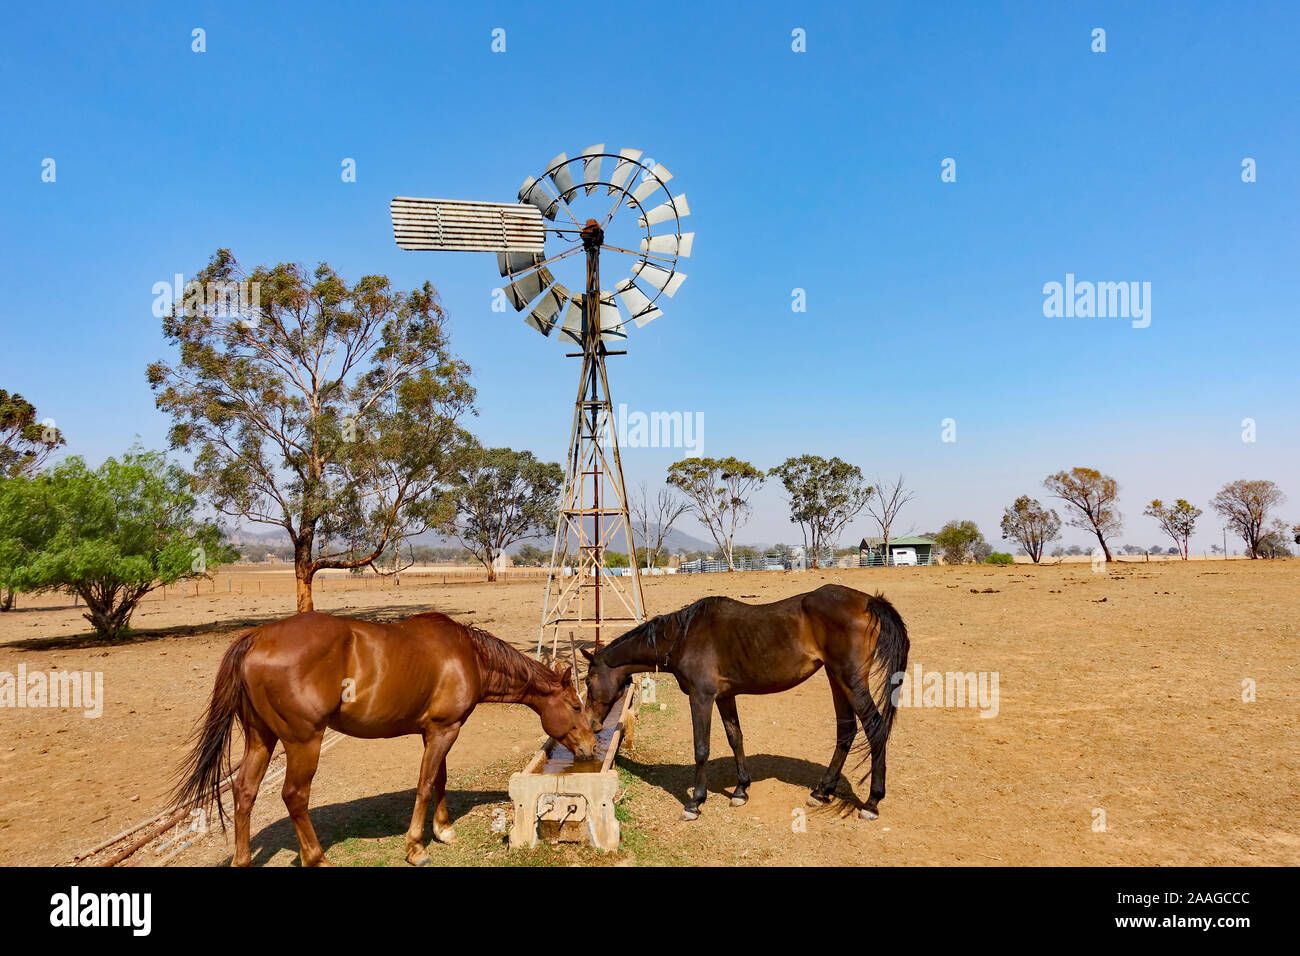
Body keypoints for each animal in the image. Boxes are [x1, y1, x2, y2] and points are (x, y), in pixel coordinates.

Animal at [174, 610, 597, 867]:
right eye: (577, 706)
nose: (592, 747)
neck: (469, 656)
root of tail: (256, 637)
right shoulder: (444, 730)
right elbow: (425, 785)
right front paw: (416, 848)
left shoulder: (438, 731)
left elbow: (439, 780)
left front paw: (443, 830)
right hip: (303, 742)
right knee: (294, 796)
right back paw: (318, 858)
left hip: (261, 739)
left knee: (244, 791)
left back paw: (243, 858)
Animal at [583, 584, 909, 821]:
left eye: (587, 681)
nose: (592, 724)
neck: (682, 637)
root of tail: (868, 602)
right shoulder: (725, 697)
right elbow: (735, 737)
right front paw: (741, 790)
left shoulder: (701, 698)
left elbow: (701, 748)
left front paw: (695, 802)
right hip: (836, 679)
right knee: (847, 730)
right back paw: (821, 792)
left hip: (850, 681)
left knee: (875, 729)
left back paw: (872, 802)